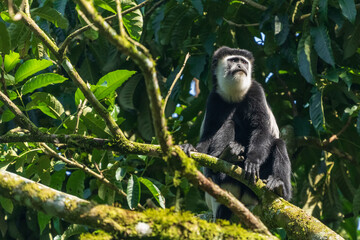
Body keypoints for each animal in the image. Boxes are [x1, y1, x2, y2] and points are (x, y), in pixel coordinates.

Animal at [184, 46, 292, 220]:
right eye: (234, 60)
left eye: (244, 62)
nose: (241, 66)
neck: (234, 94)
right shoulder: (214, 98)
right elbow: (208, 135)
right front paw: (191, 148)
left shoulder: (256, 91)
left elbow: (261, 128)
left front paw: (252, 161)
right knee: (228, 124)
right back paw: (226, 156)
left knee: (278, 144)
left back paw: (279, 188)